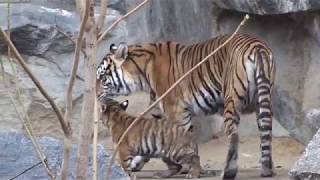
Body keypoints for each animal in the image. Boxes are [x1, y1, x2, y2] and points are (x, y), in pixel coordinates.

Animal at [96, 33, 276, 179]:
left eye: (102, 77)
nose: (96, 95)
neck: (142, 72)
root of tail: (257, 46)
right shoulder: (156, 109)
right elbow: (146, 133)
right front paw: (136, 163)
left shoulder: (175, 109)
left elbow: (182, 139)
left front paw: (189, 169)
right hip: (264, 99)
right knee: (266, 131)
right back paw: (267, 170)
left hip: (231, 97)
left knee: (234, 135)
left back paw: (228, 172)